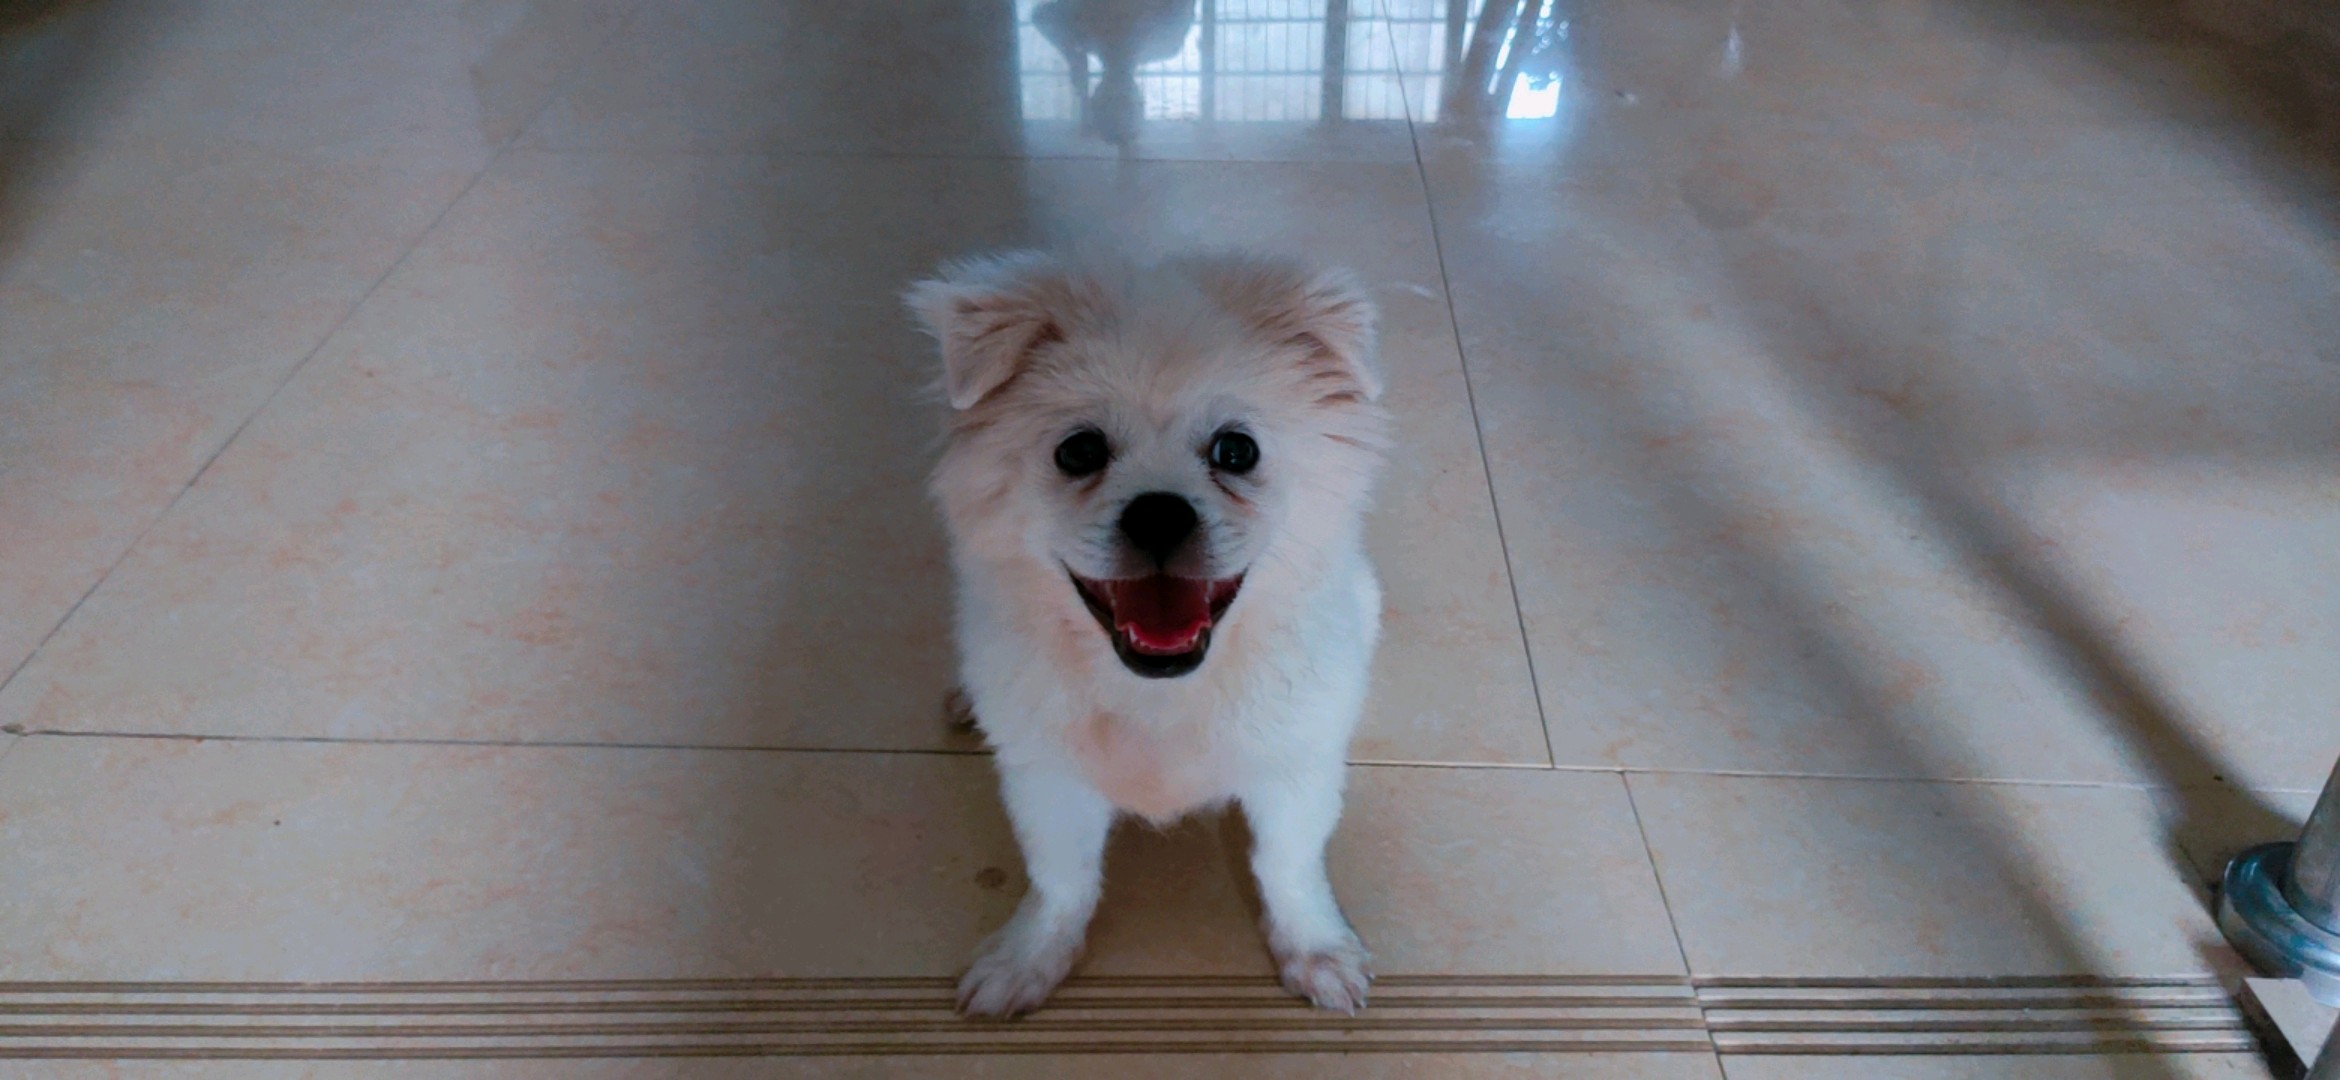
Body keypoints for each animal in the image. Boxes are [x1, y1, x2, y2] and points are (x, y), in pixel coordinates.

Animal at [909, 250, 1391, 1018]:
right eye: (1078, 452)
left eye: (1236, 451)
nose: (1160, 513)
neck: (1160, 691)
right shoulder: (1048, 779)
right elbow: (1062, 879)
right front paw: (1030, 959)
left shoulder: (1293, 770)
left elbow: (1287, 866)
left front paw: (1315, 952)